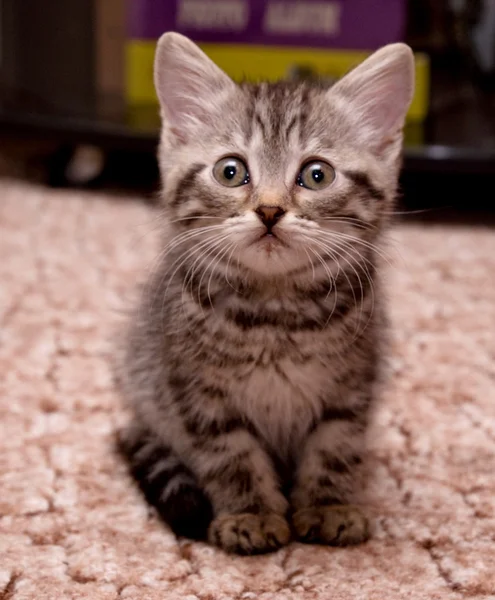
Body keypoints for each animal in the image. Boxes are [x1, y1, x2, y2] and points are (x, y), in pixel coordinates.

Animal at [118, 32, 416, 556]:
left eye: (317, 175)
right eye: (231, 171)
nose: (271, 210)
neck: (275, 314)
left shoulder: (352, 387)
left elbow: (334, 448)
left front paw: (328, 506)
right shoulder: (198, 395)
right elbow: (231, 456)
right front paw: (250, 515)